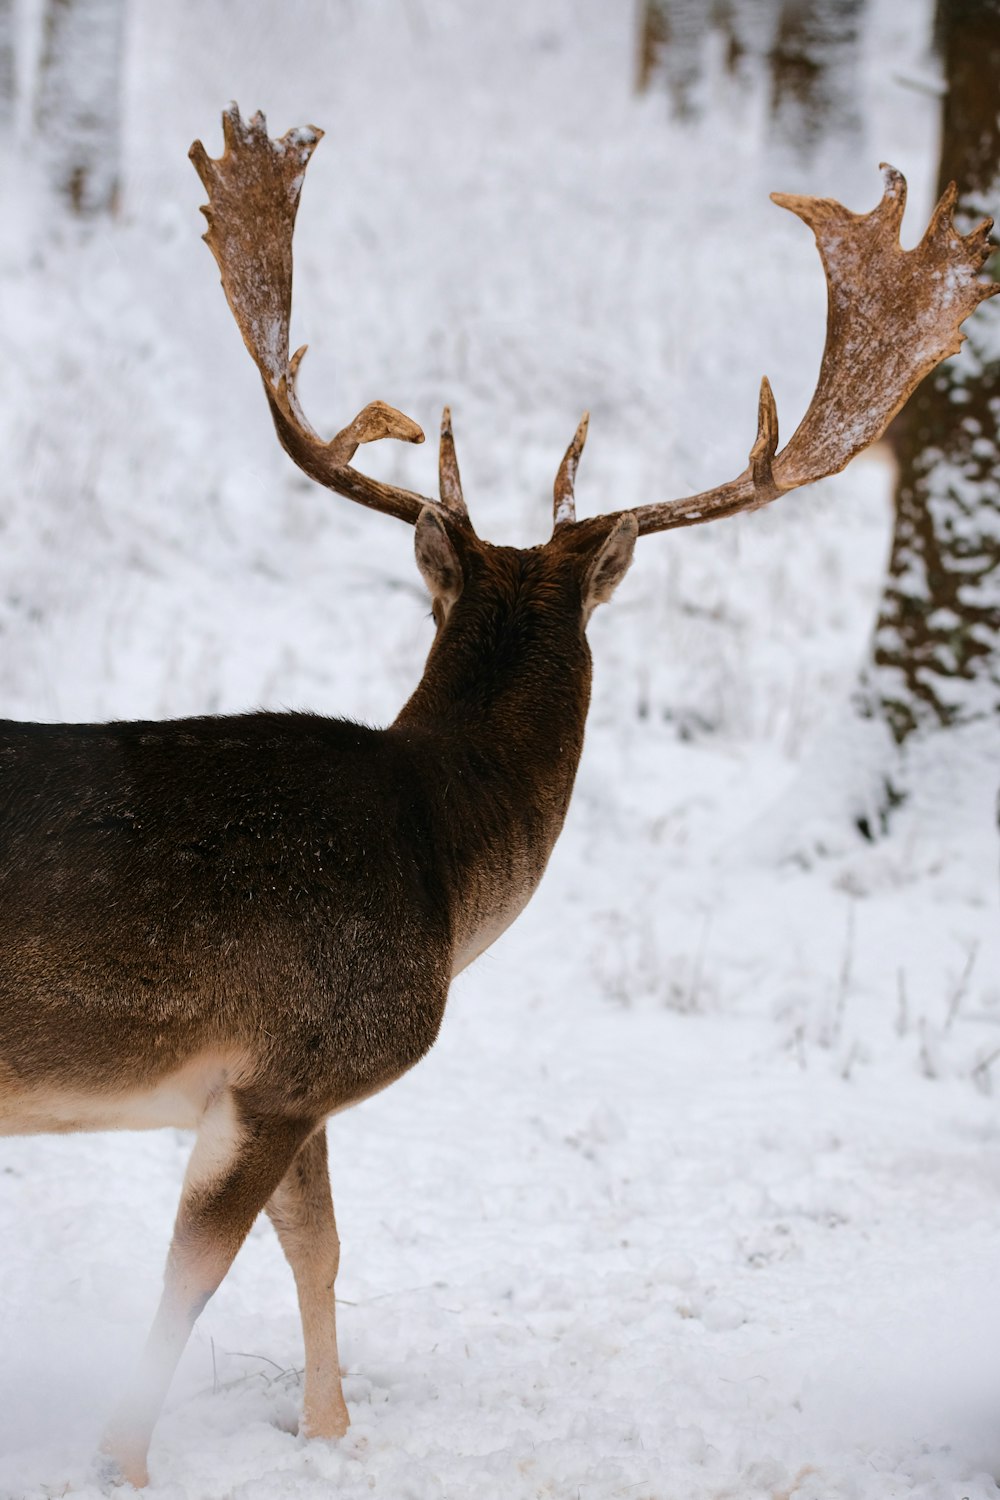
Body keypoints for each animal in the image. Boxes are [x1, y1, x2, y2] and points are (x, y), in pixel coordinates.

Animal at [0, 108, 995, 1488]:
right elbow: (193, 1276)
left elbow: (321, 1252)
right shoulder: (294, 1058)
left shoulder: (289, 1082)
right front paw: (128, 1463)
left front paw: (332, 1434)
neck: (443, 870)